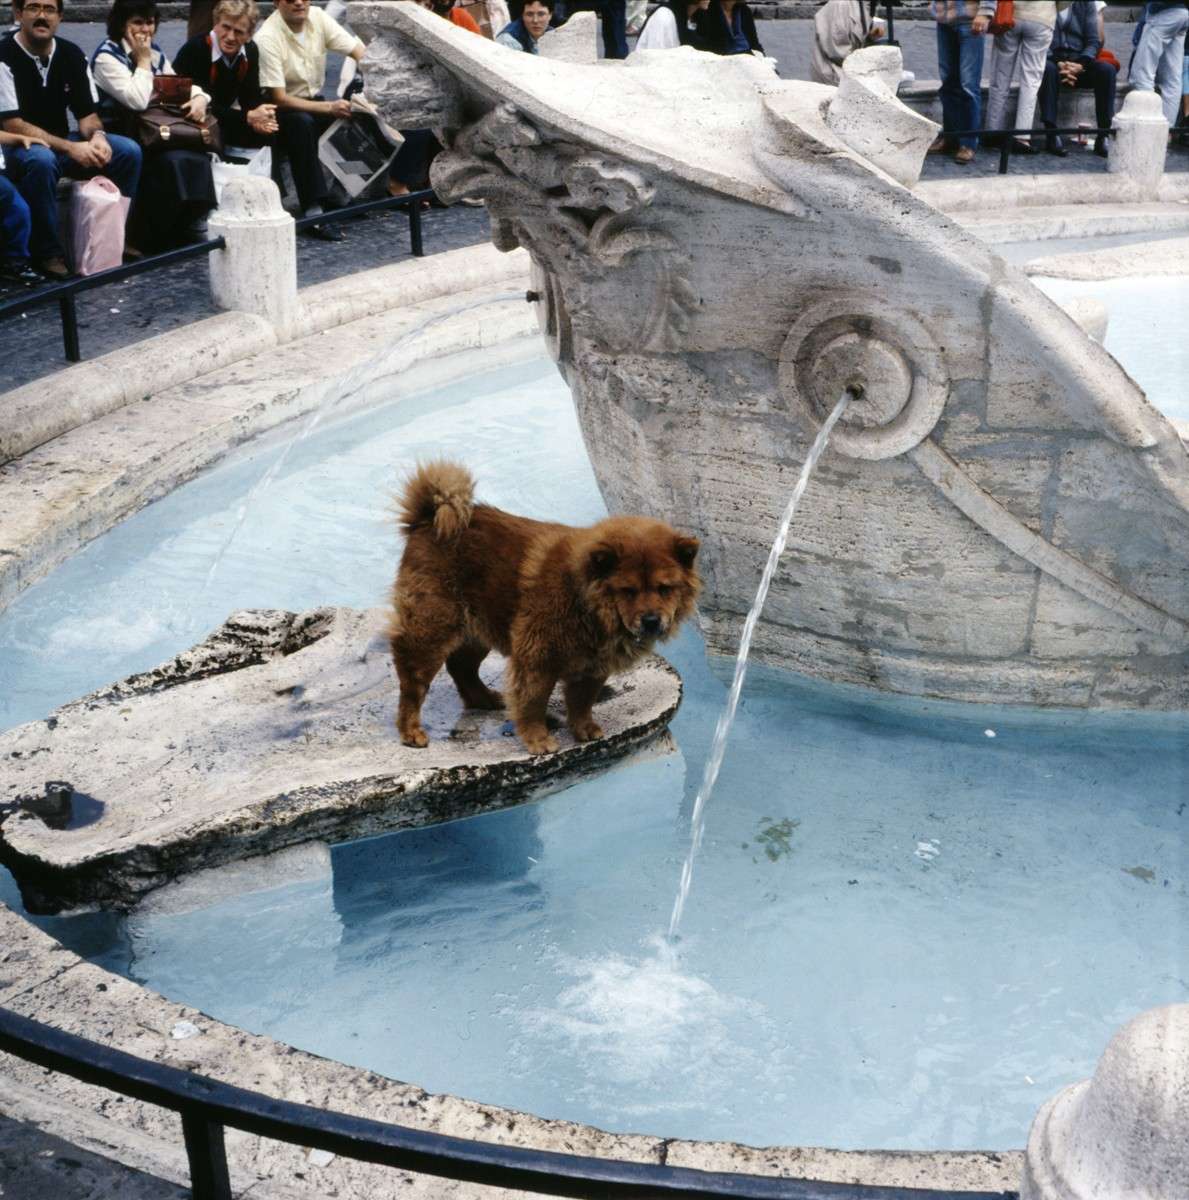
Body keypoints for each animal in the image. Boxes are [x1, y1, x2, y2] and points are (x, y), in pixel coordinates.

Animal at [395, 460, 700, 753]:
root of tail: (426, 520)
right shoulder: (536, 658)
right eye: (628, 591)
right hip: (433, 628)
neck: (586, 602)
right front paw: (538, 740)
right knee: (413, 683)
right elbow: (533, 703)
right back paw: (411, 732)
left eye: (664, 588)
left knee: (461, 667)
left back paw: (487, 699)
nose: (651, 620)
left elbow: (582, 703)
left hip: (480, 627)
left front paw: (584, 729)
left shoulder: (593, 667)